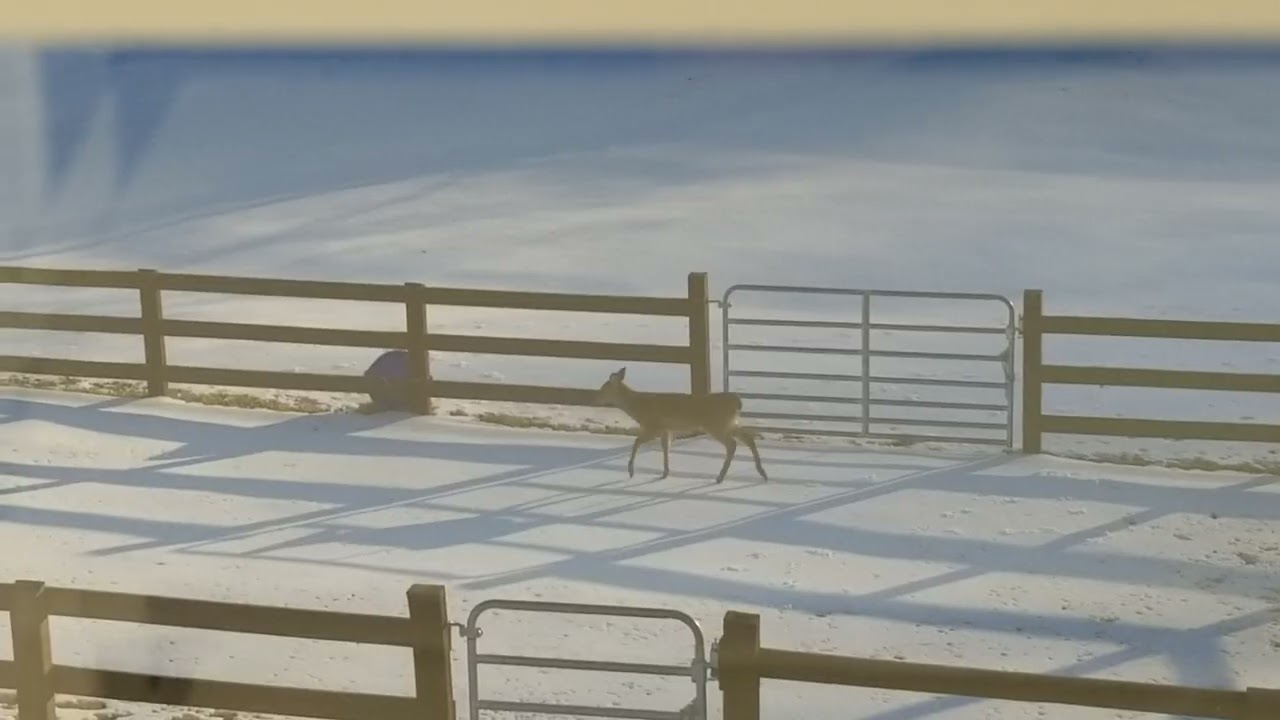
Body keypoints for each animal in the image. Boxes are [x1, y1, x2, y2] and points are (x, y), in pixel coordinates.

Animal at [594, 366, 768, 484]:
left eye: (603, 388)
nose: (594, 398)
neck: (639, 406)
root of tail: (737, 402)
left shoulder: (653, 425)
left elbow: (636, 442)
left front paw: (631, 471)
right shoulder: (666, 429)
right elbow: (666, 448)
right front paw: (665, 473)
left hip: (716, 424)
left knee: (732, 444)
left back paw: (720, 477)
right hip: (729, 423)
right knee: (748, 438)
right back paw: (762, 473)